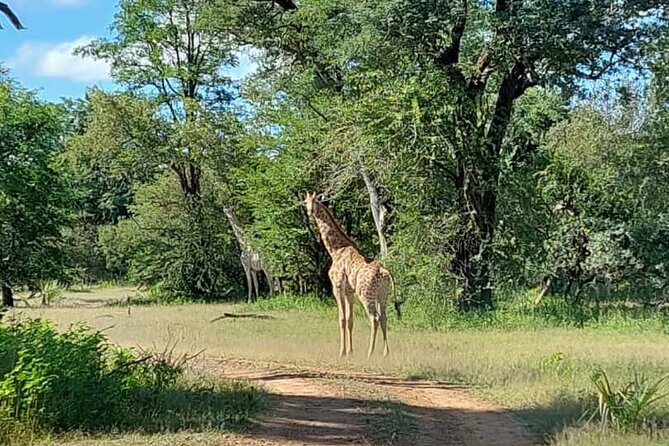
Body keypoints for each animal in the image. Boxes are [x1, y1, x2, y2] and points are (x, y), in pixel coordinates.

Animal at [304, 193, 394, 358]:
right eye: (305, 202)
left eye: (315, 201)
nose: (309, 211)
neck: (335, 250)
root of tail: (384, 272)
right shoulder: (349, 291)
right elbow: (350, 319)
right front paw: (350, 351)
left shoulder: (337, 286)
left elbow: (341, 319)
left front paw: (342, 352)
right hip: (382, 294)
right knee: (384, 318)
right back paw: (385, 353)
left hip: (365, 294)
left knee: (374, 318)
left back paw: (370, 353)